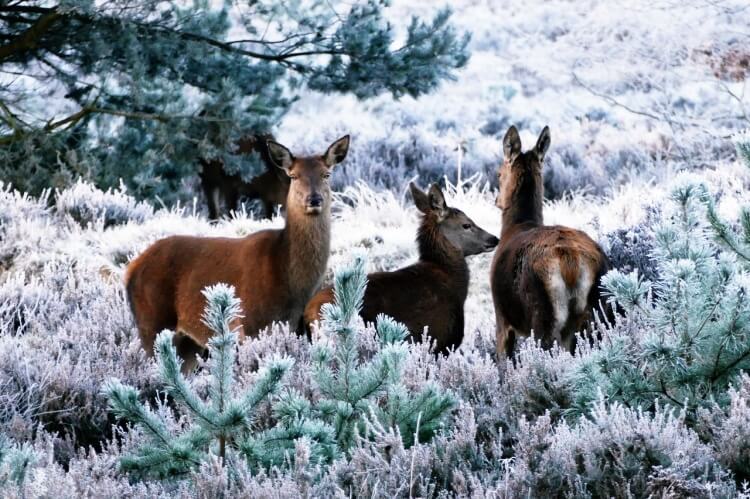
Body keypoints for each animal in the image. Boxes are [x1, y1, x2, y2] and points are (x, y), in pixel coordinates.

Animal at [128, 136, 352, 372]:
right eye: (293, 175)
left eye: (326, 174)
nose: (314, 199)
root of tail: (131, 269)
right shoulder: (250, 324)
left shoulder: (295, 325)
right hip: (151, 322)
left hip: (186, 341)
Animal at [490, 127, 612, 358]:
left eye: (499, 174)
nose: (497, 201)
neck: (515, 226)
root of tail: (571, 262)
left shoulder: (502, 318)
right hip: (600, 310)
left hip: (543, 314)